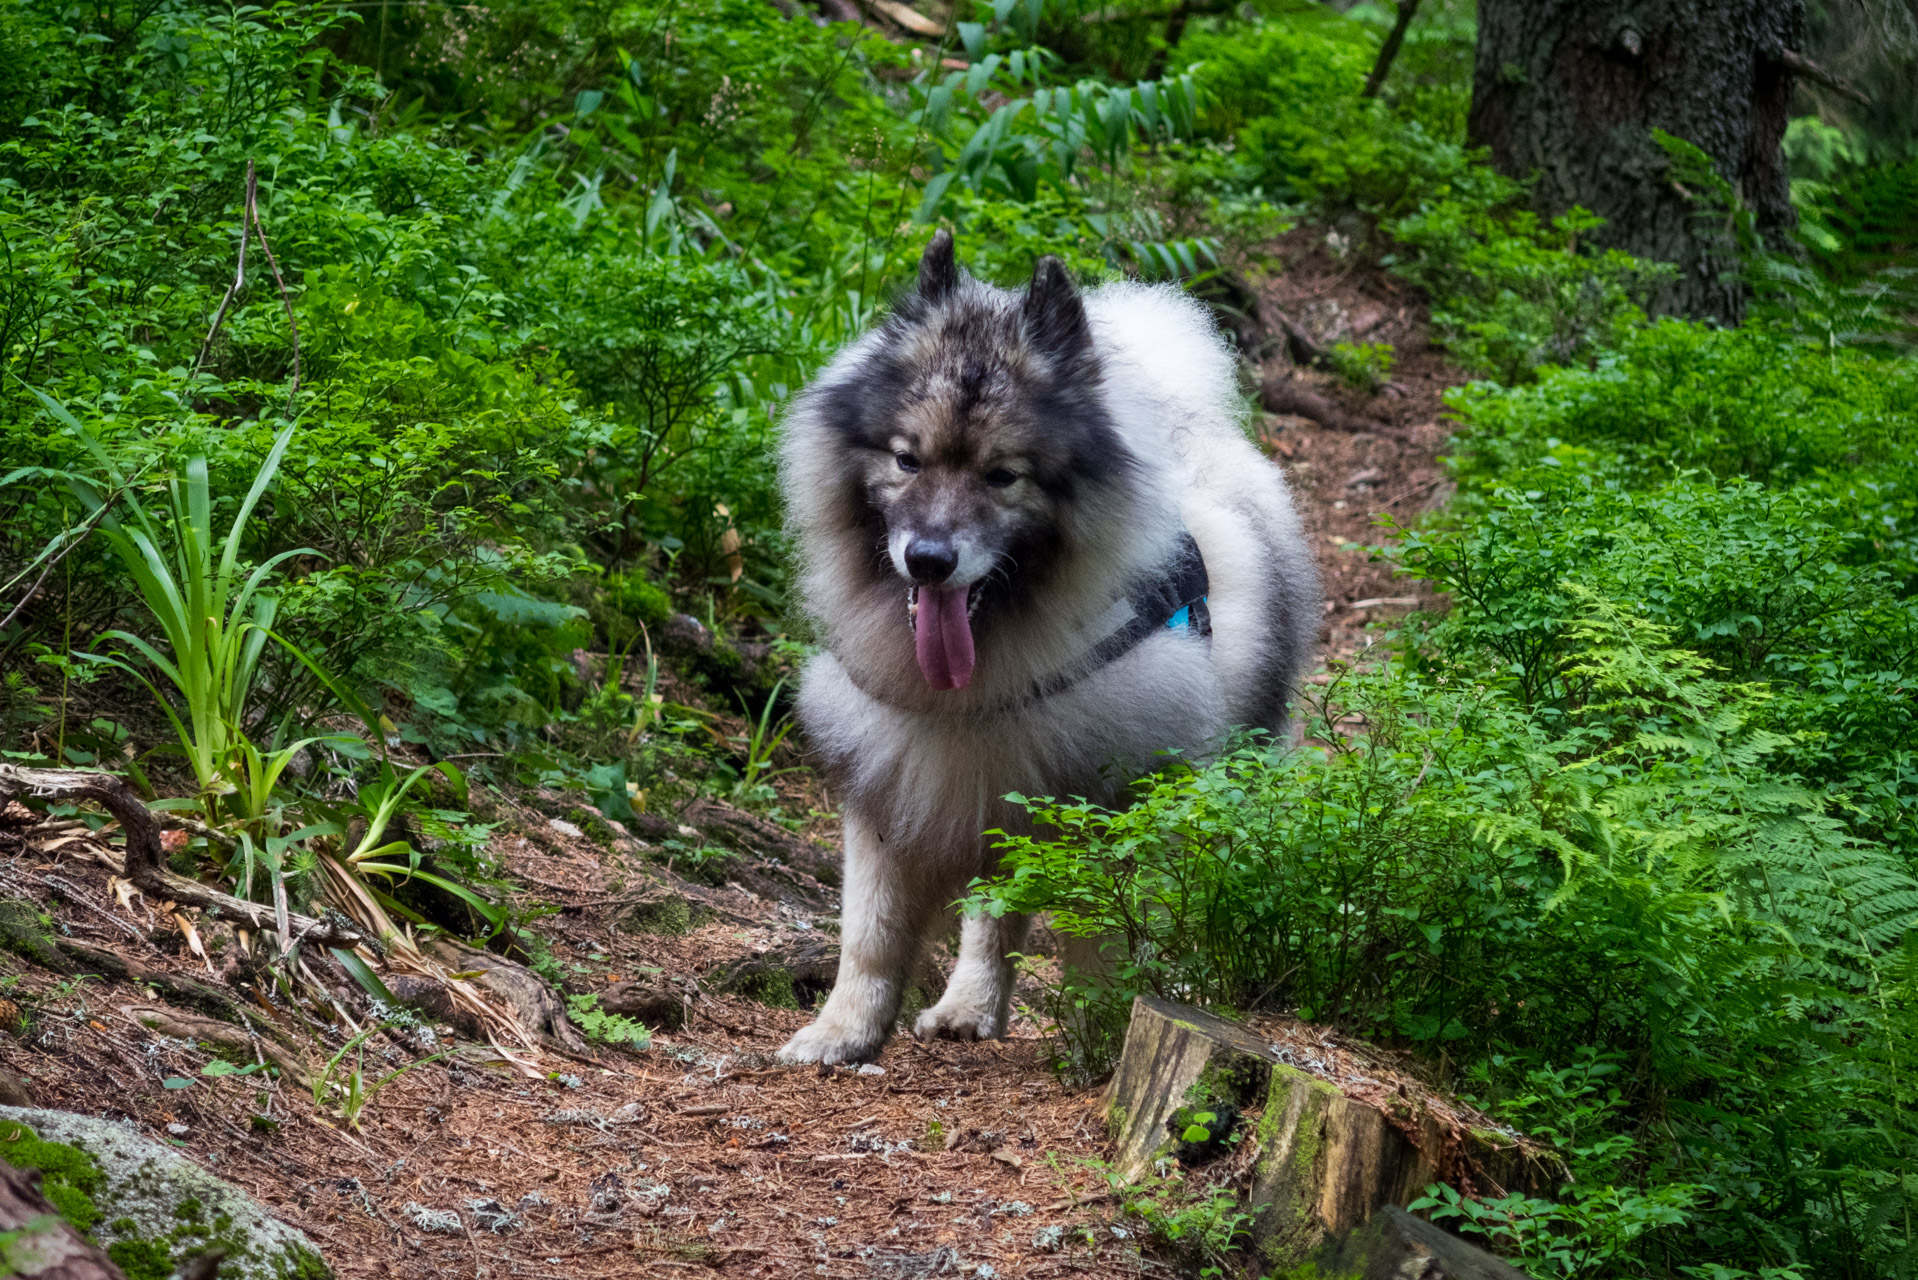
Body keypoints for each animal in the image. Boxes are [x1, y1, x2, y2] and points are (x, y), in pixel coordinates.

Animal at [774, 235, 1319, 1066]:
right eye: (907, 460)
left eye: (1003, 475)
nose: (928, 560)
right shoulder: (893, 785)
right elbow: (869, 935)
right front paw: (842, 1034)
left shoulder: (1113, 802)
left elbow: (1105, 943)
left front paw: (1102, 1044)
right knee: (993, 918)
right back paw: (967, 1007)